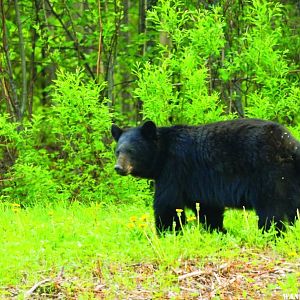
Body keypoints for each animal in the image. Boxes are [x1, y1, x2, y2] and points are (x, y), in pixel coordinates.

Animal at [111, 118, 300, 233]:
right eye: (118, 151)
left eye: (131, 151)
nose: (118, 168)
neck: (163, 152)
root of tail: (290, 144)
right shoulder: (199, 184)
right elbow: (207, 207)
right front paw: (218, 230)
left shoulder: (174, 170)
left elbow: (168, 203)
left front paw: (168, 232)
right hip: (290, 178)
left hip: (269, 175)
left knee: (272, 209)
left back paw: (270, 232)